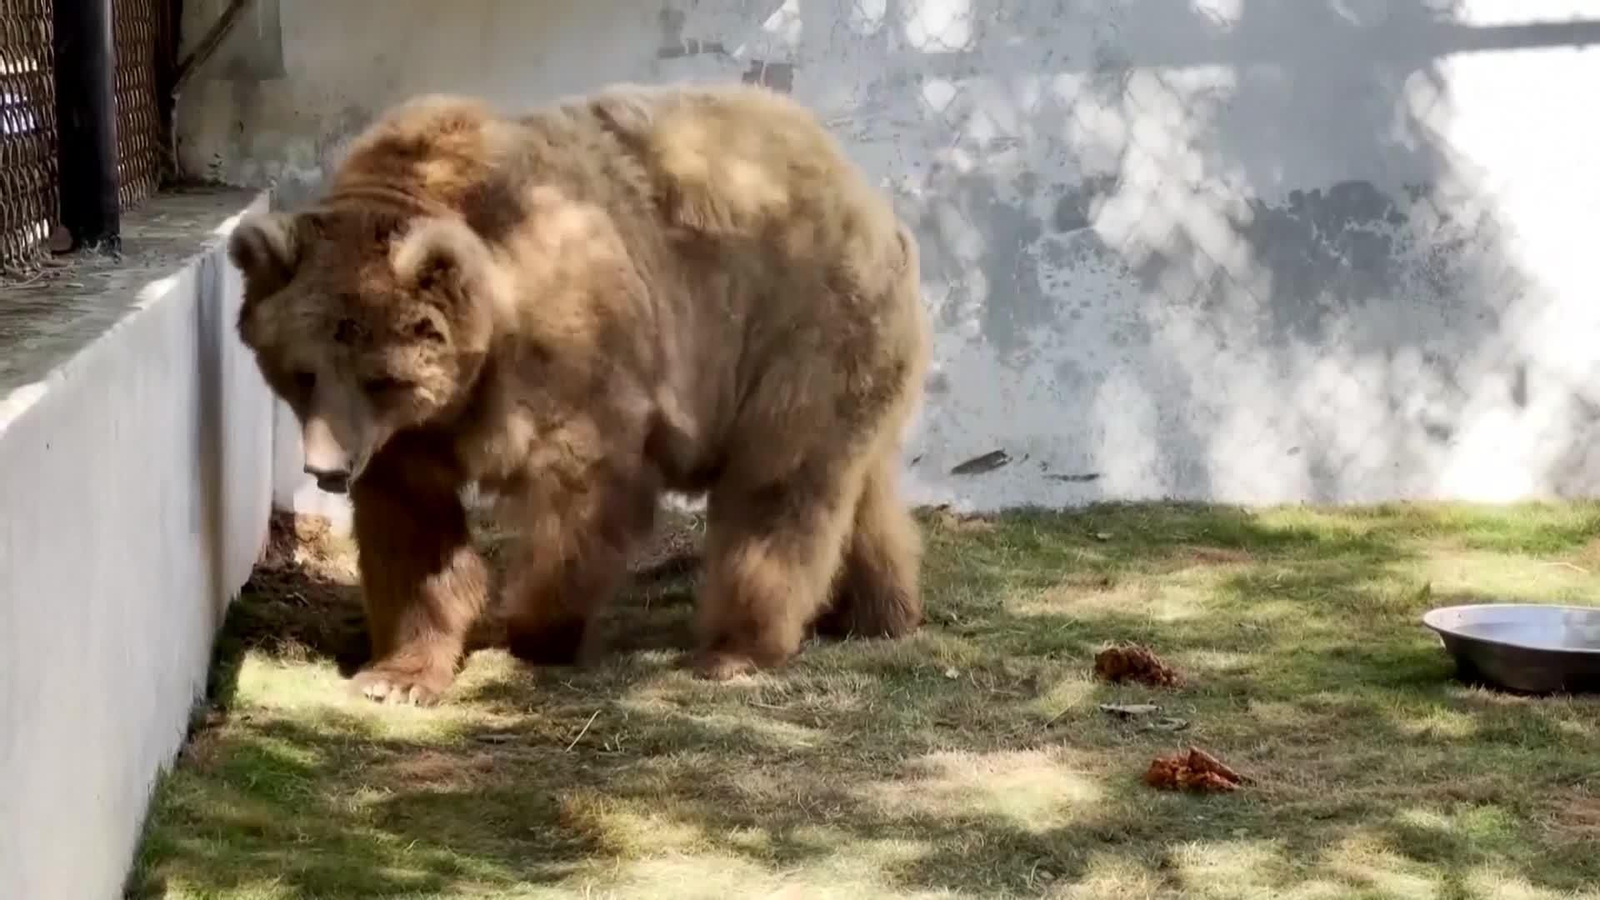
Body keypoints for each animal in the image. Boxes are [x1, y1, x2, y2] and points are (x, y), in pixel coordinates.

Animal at [226, 81, 931, 705]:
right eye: (302, 371)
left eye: (381, 378)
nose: (327, 469)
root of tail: (873, 203)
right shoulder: (409, 435)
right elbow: (411, 528)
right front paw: (396, 674)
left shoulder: (569, 352)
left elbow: (582, 497)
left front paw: (535, 629)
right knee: (860, 489)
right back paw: (877, 611)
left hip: (796, 331)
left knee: (775, 489)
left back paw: (734, 648)